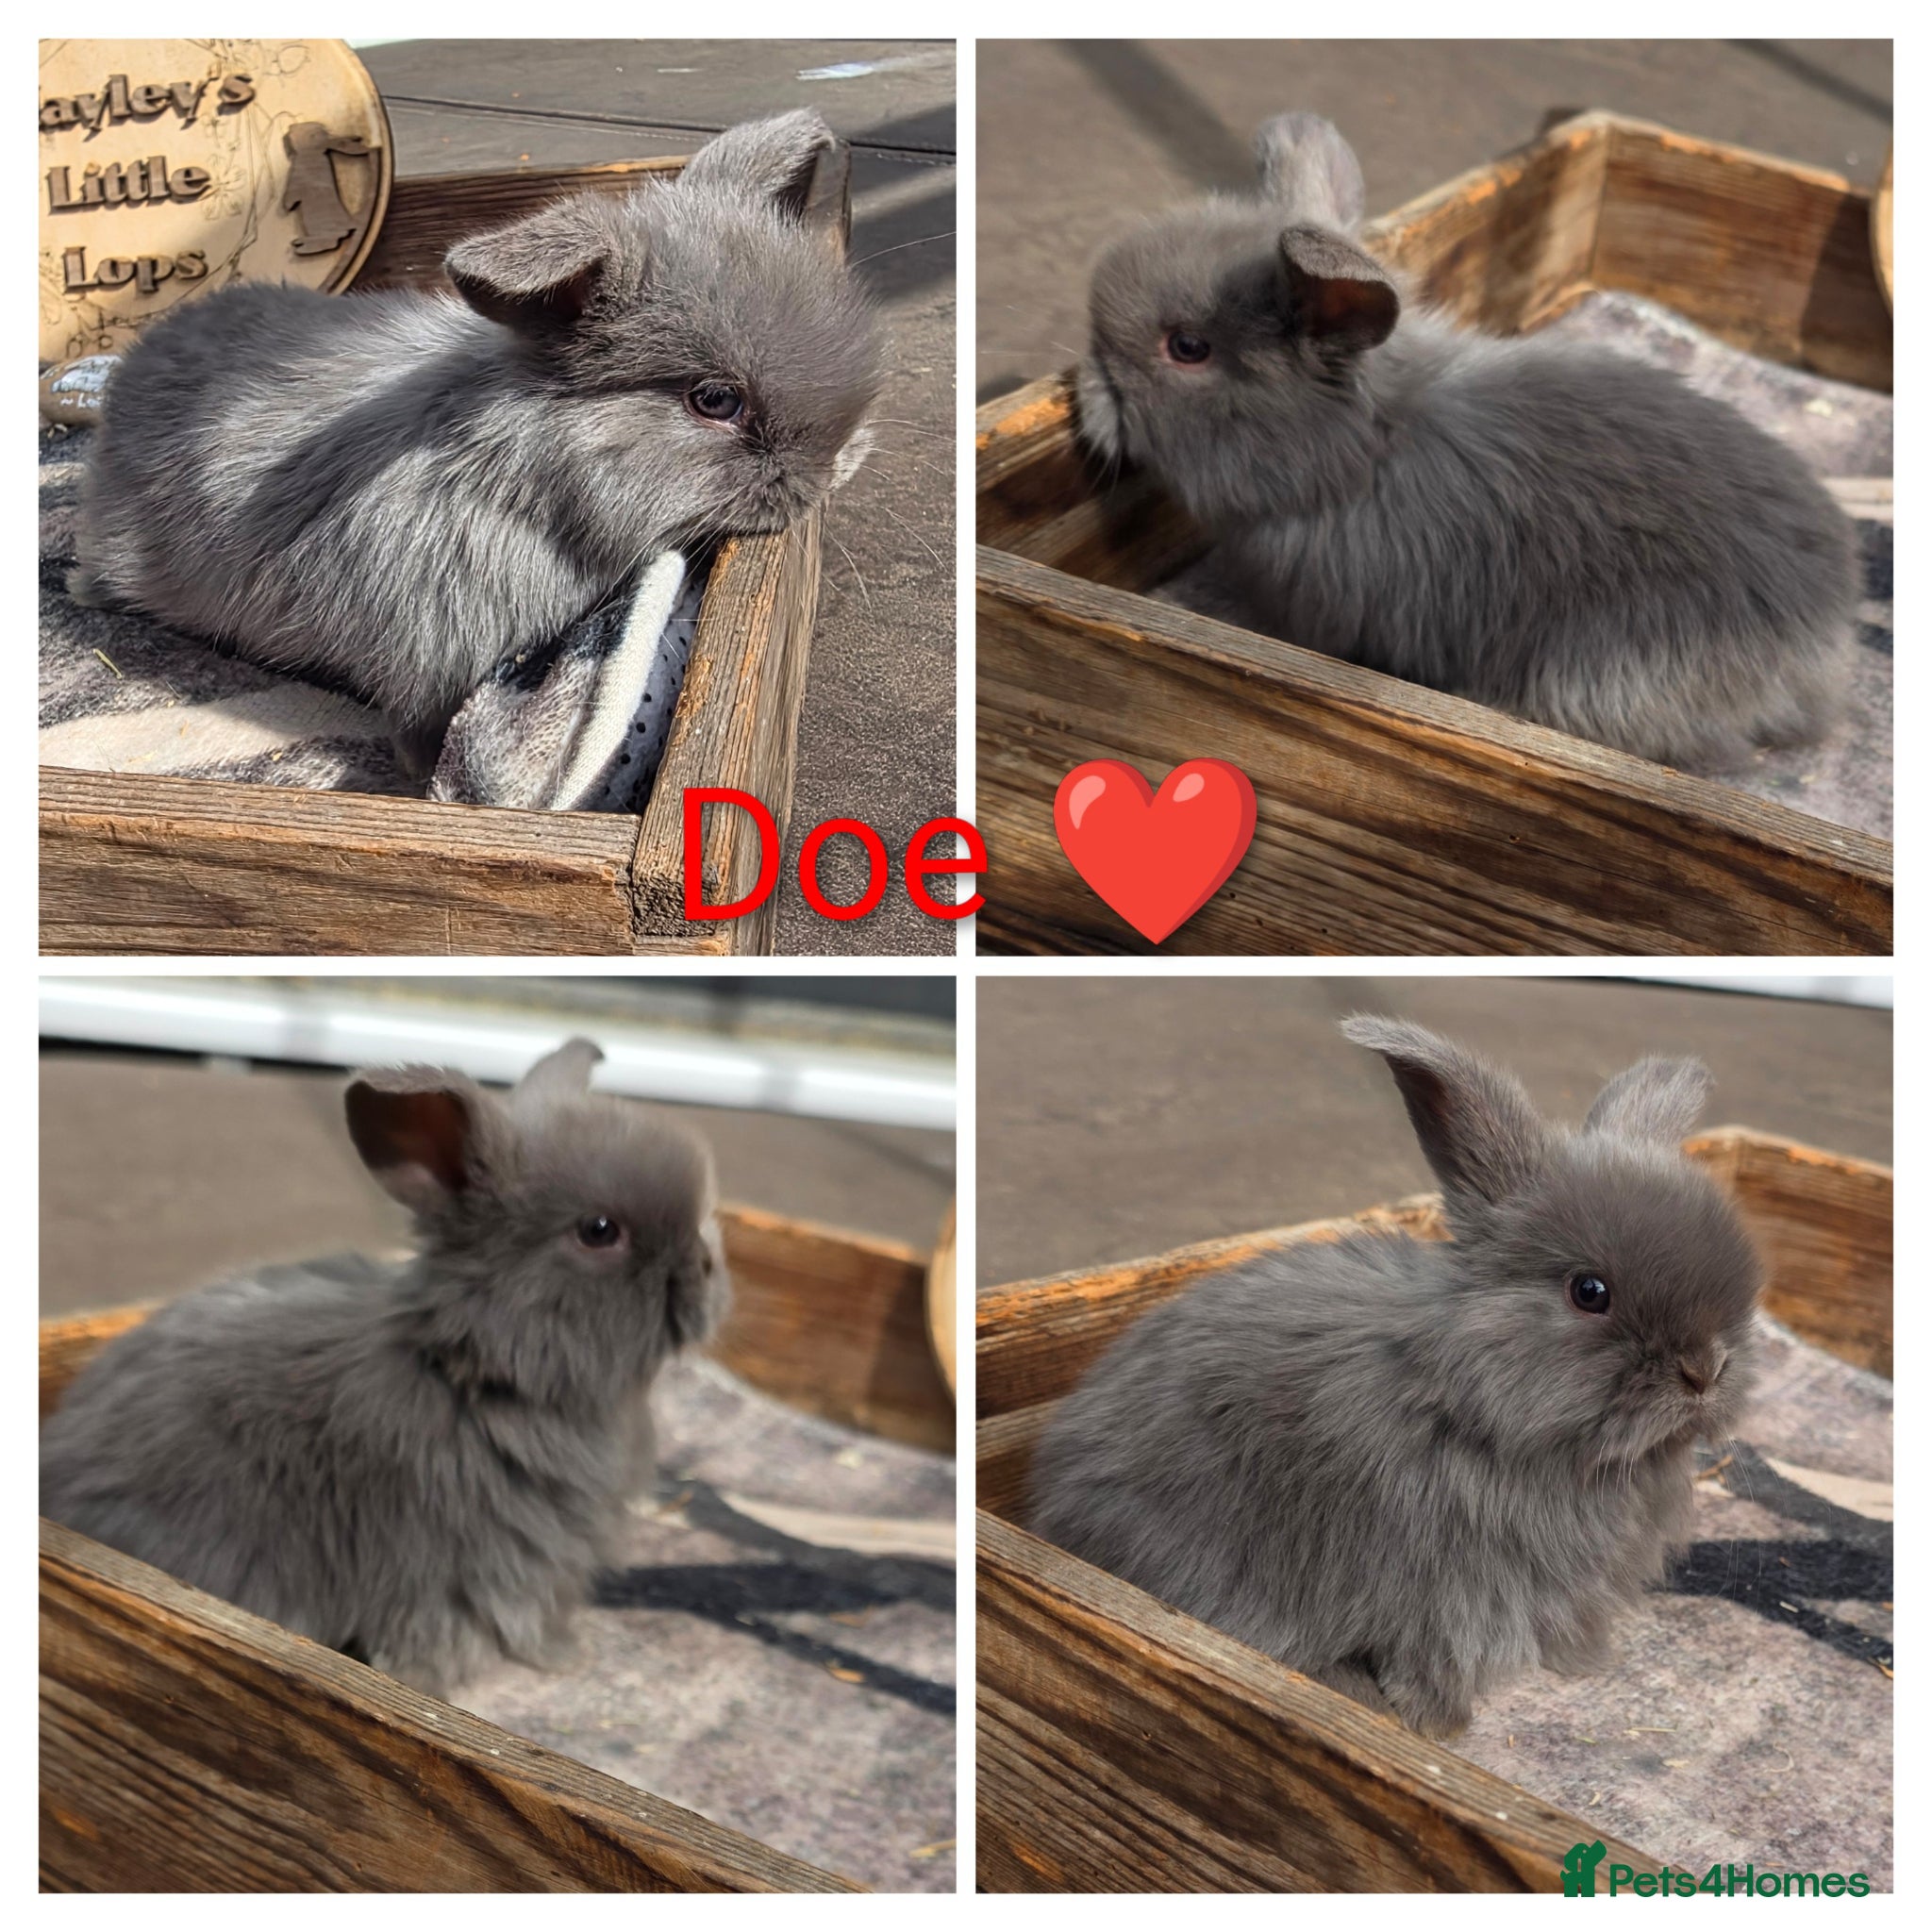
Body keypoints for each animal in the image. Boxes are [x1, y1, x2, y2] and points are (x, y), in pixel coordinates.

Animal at [1028, 1015, 1763, 1737]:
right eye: (1590, 1291)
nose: (1705, 1369)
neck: (1465, 1404)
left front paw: (1579, 1662)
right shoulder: (1437, 1594)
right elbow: (1428, 1663)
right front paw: (1439, 1726)